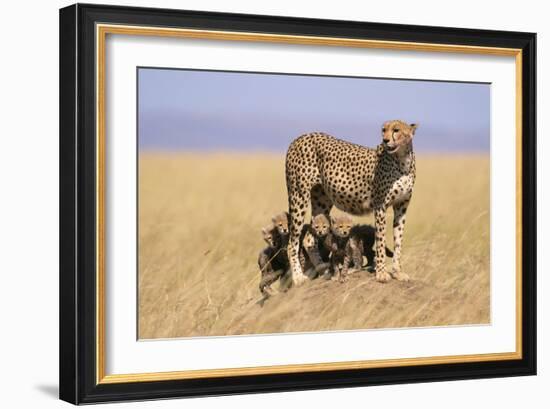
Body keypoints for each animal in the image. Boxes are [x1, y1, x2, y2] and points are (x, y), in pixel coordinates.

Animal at [284, 118, 418, 284]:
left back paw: (324, 270)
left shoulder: (401, 207)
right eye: (384, 130)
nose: (385, 140)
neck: (402, 160)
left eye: (396, 130)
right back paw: (298, 277)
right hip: (299, 196)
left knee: (309, 239)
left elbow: (398, 241)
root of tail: (301, 137)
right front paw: (381, 273)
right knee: (292, 243)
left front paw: (398, 272)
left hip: (322, 200)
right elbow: (380, 241)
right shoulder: (380, 206)